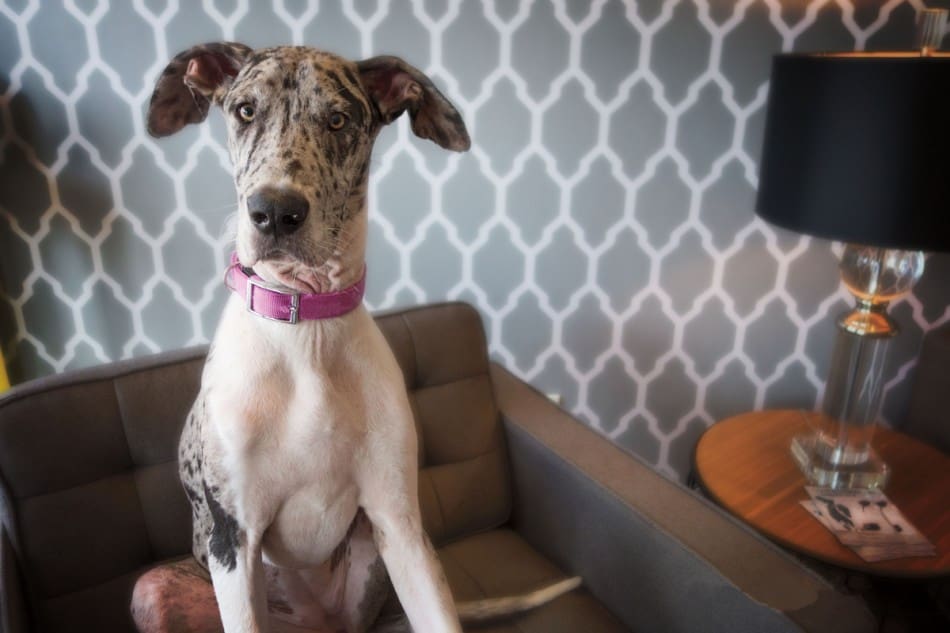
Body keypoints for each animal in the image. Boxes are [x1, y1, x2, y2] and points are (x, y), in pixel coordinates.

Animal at [130, 44, 580, 632]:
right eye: (245, 110)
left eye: (339, 120)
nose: (275, 212)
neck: (308, 330)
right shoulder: (235, 538)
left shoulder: (400, 522)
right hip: (157, 588)